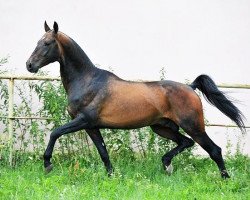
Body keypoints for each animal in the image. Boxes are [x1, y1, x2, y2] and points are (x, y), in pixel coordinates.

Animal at [25, 21, 244, 178]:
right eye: (36, 42)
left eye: (47, 43)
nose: (29, 65)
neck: (87, 81)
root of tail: (190, 87)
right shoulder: (91, 126)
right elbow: (103, 152)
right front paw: (112, 176)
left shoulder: (83, 120)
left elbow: (55, 132)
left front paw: (47, 164)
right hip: (162, 127)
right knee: (186, 142)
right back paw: (166, 164)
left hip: (193, 126)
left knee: (214, 150)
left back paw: (224, 179)